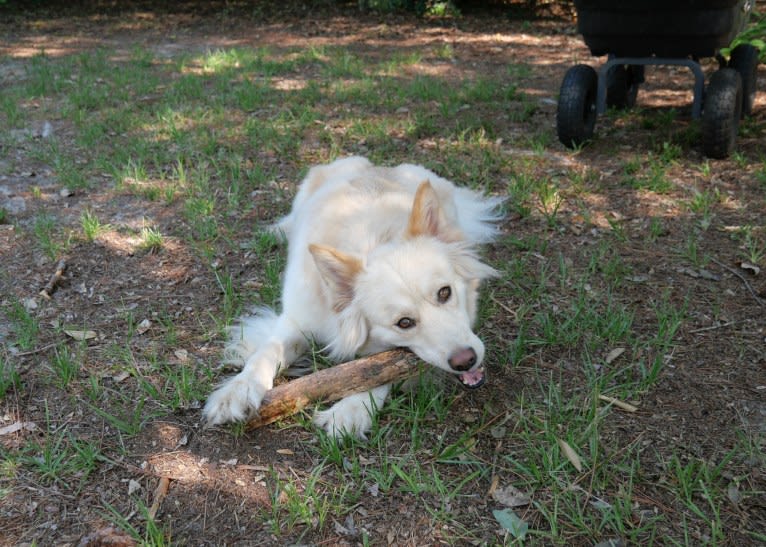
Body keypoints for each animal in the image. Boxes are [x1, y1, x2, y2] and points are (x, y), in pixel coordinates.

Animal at [202, 157, 504, 436]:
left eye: (445, 293)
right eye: (404, 323)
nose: (466, 360)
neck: (374, 240)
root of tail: (377, 165)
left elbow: (377, 372)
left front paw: (350, 409)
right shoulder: (296, 319)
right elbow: (266, 352)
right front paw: (237, 391)